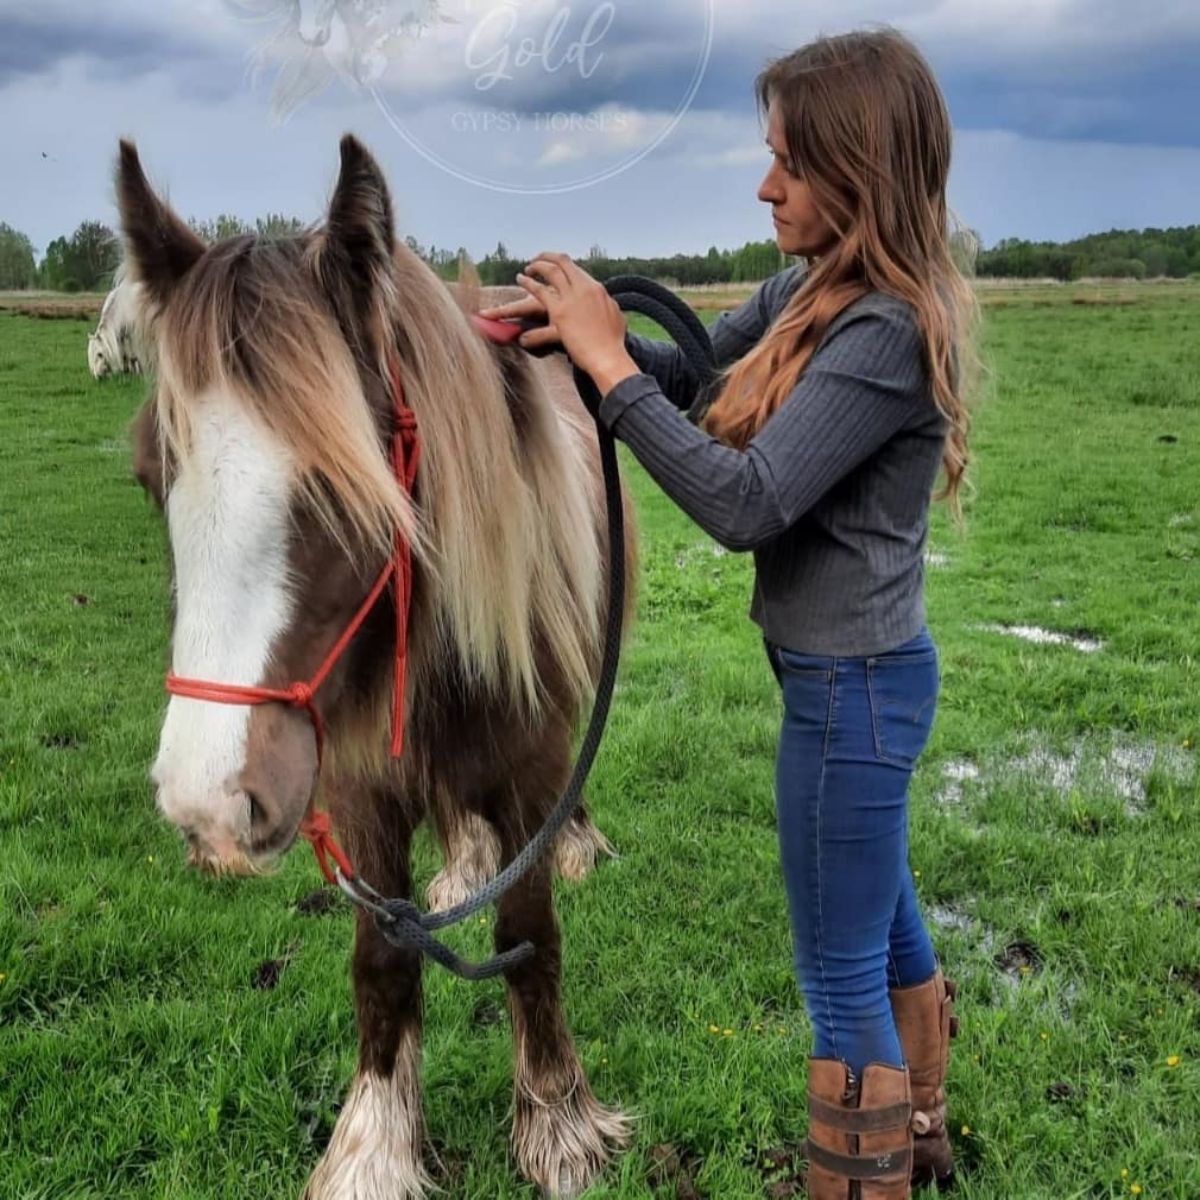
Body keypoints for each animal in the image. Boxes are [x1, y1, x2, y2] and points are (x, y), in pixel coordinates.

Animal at [121, 133, 638, 1200]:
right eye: (152, 475)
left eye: (344, 483)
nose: (207, 804)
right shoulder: (360, 789)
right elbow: (383, 962)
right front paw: (374, 1148)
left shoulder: (530, 770)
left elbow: (529, 933)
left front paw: (559, 1124)